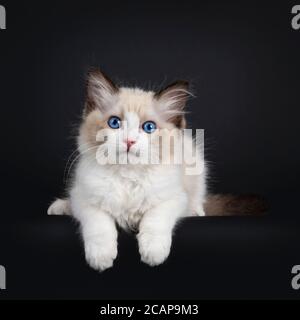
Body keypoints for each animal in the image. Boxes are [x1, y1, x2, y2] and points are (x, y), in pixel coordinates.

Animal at [48, 69, 266, 272]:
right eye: (114, 123)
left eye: (149, 127)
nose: (129, 141)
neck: (128, 175)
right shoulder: (84, 198)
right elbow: (99, 224)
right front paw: (101, 257)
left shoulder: (172, 198)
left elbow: (155, 220)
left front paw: (153, 253)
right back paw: (59, 207)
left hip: (197, 165)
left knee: (197, 199)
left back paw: (196, 211)